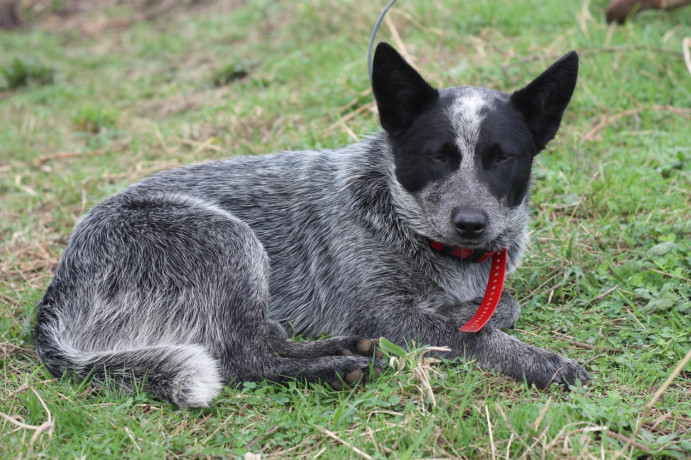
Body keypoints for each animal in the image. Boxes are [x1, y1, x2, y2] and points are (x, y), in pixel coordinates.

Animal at [35, 42, 592, 406]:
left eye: (502, 159)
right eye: (438, 157)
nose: (471, 223)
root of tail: (55, 301)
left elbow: (500, 306)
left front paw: (472, 310)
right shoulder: (382, 314)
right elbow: (472, 336)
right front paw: (543, 362)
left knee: (267, 340)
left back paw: (341, 349)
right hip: (227, 238)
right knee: (246, 358)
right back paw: (338, 367)